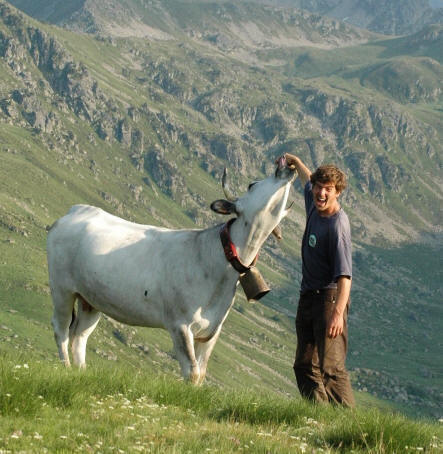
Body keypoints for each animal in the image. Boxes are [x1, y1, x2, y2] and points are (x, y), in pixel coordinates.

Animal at [46, 158, 296, 384]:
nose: (284, 165)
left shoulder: (212, 331)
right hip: (62, 288)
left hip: (91, 299)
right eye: (252, 185)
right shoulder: (180, 323)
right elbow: (191, 372)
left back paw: (81, 372)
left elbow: (201, 373)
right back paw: (66, 368)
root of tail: (76, 210)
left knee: (80, 335)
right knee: (61, 329)